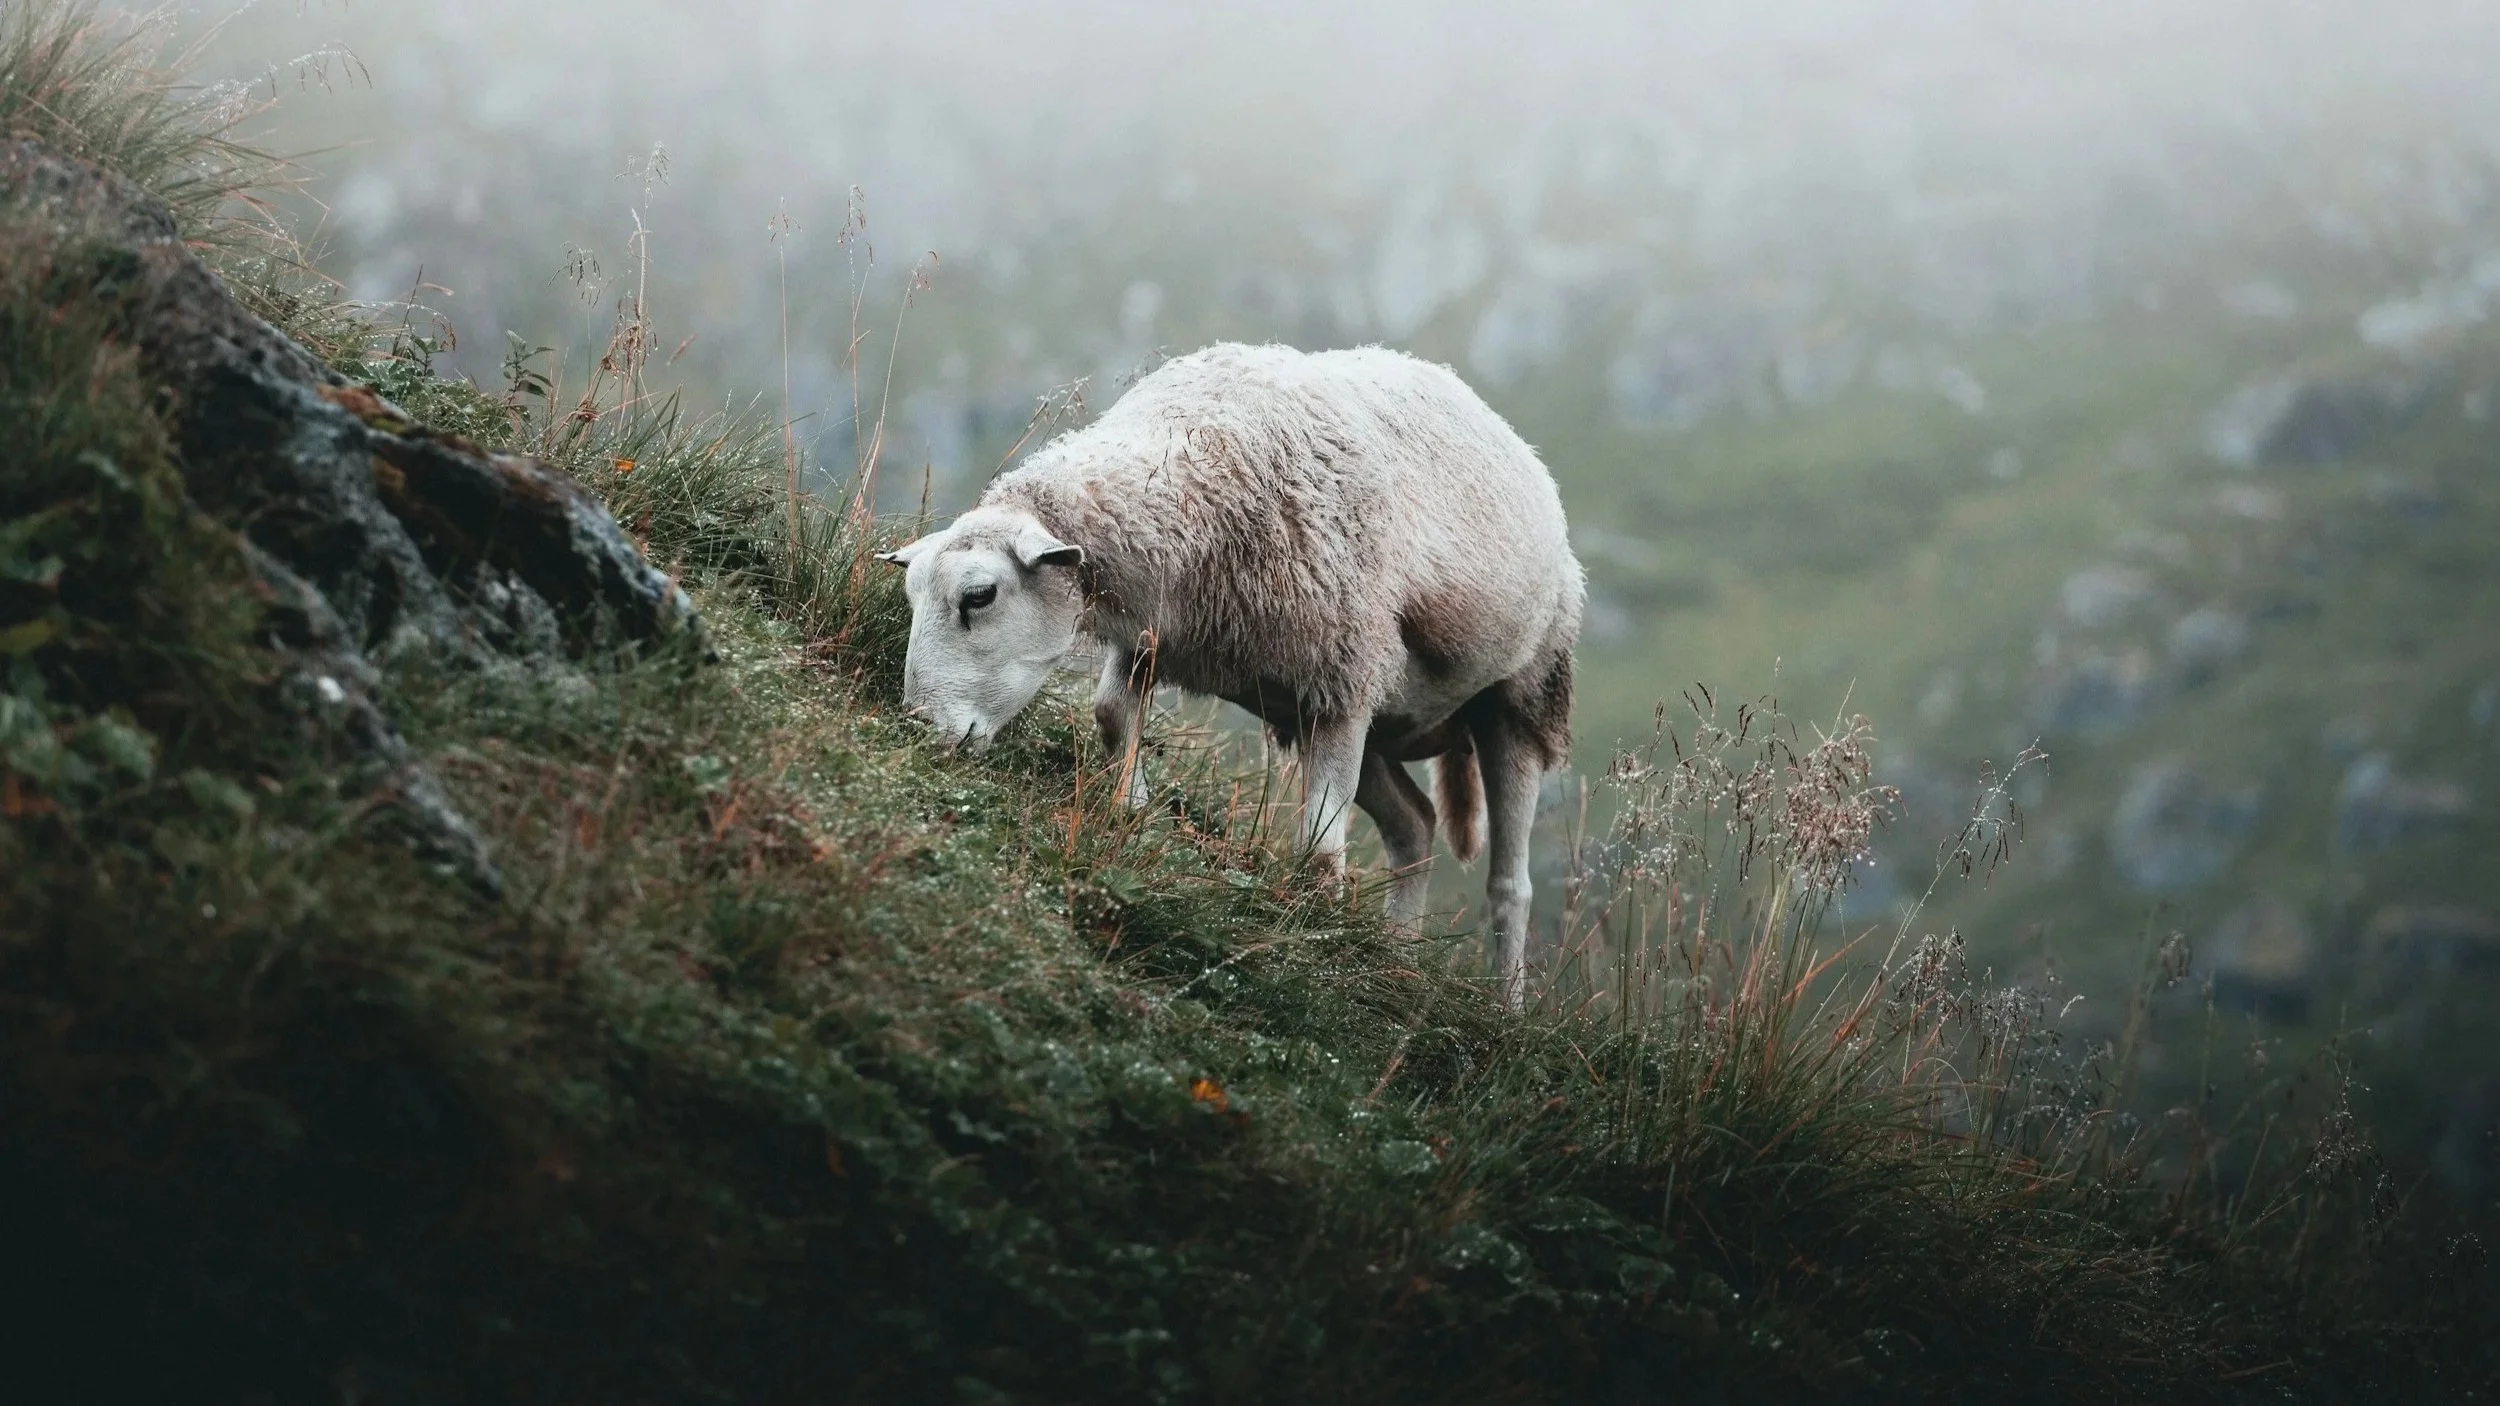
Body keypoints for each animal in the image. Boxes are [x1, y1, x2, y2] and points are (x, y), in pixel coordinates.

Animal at [878, 342, 1583, 1009]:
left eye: (979, 597)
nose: (919, 725)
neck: (1193, 456)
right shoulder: (1161, 635)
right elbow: (1111, 713)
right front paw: (1134, 816)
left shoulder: (1344, 677)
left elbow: (1319, 862)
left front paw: (1318, 948)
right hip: (1338, 712)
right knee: (1414, 824)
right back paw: (1397, 960)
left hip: (1518, 697)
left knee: (1510, 884)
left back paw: (1507, 1006)